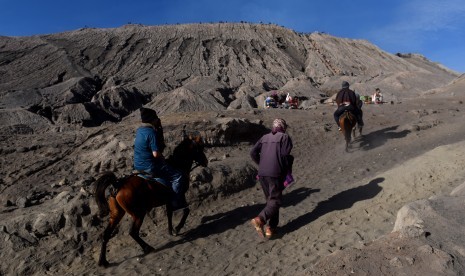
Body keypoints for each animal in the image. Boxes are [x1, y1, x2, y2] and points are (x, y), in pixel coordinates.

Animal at [93, 132, 208, 268]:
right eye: (199, 148)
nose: (206, 161)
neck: (177, 165)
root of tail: (118, 184)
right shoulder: (179, 197)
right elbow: (186, 211)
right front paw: (177, 228)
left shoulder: (168, 201)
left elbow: (169, 214)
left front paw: (170, 231)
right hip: (138, 214)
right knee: (133, 232)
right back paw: (148, 248)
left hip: (116, 214)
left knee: (106, 235)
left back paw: (103, 261)